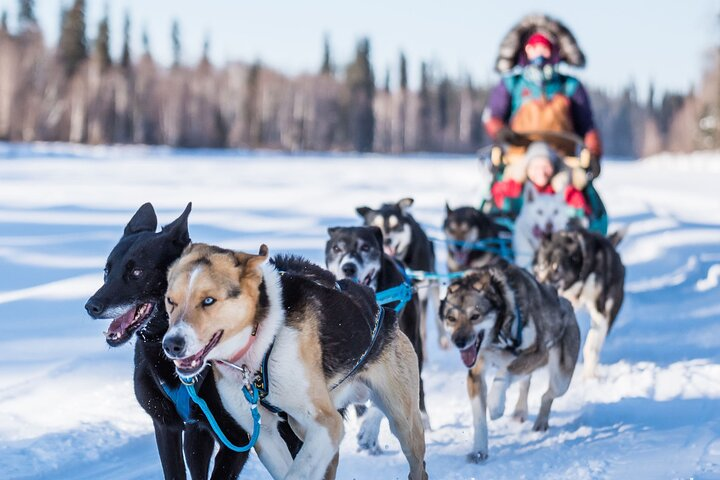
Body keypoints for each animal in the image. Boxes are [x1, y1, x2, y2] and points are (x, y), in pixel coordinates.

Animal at [162, 244, 428, 480]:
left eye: (208, 301)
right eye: (170, 301)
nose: (172, 344)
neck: (261, 340)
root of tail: (382, 310)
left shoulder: (327, 424)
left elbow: (298, 472)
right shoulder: (266, 436)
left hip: (403, 422)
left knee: (418, 467)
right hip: (301, 426)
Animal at [438, 260, 580, 464]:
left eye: (475, 316)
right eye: (451, 318)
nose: (459, 342)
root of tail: (563, 302)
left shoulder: (538, 353)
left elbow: (504, 373)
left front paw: (496, 404)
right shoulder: (475, 372)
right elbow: (479, 419)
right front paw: (479, 450)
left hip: (561, 378)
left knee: (546, 395)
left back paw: (540, 421)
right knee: (525, 382)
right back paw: (520, 412)